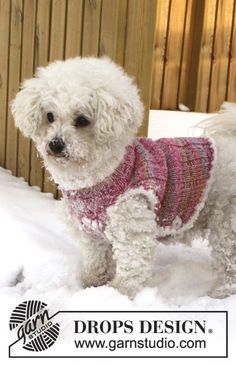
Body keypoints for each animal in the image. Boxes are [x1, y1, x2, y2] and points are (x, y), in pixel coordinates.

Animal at [11, 56, 236, 296]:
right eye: (50, 116)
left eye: (82, 120)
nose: (55, 144)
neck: (100, 175)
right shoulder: (91, 233)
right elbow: (96, 263)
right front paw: (92, 287)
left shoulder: (132, 229)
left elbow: (130, 273)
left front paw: (116, 296)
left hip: (226, 229)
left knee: (230, 268)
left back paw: (221, 293)